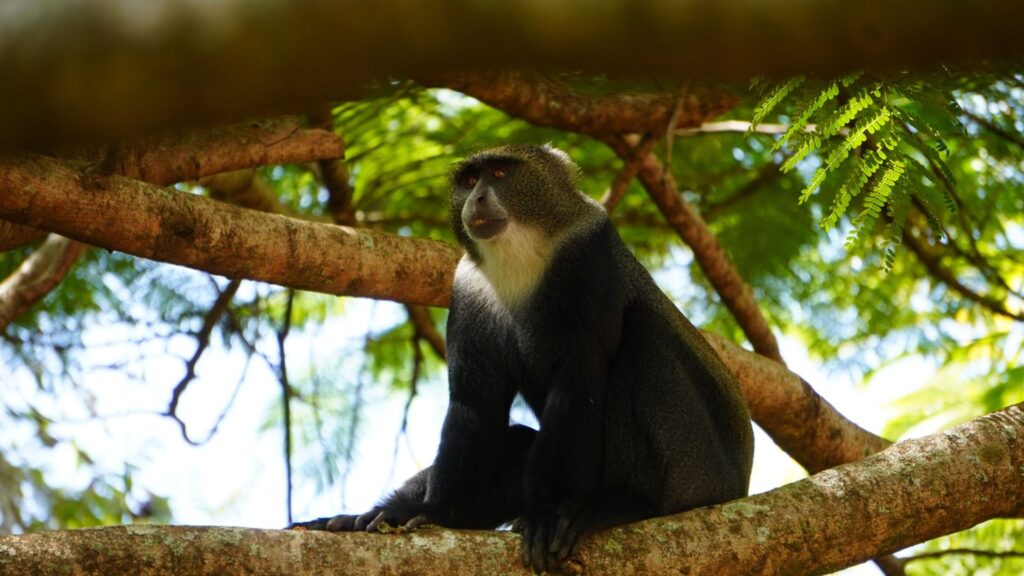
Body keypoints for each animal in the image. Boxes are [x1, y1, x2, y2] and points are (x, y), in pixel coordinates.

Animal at [292, 144, 754, 572]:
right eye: (469, 180)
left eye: (499, 173)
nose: (478, 197)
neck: (522, 259)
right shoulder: (469, 287)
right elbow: (475, 405)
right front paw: (431, 512)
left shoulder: (589, 255)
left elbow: (578, 385)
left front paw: (546, 518)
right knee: (517, 442)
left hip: (698, 470)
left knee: (646, 335)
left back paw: (624, 504)